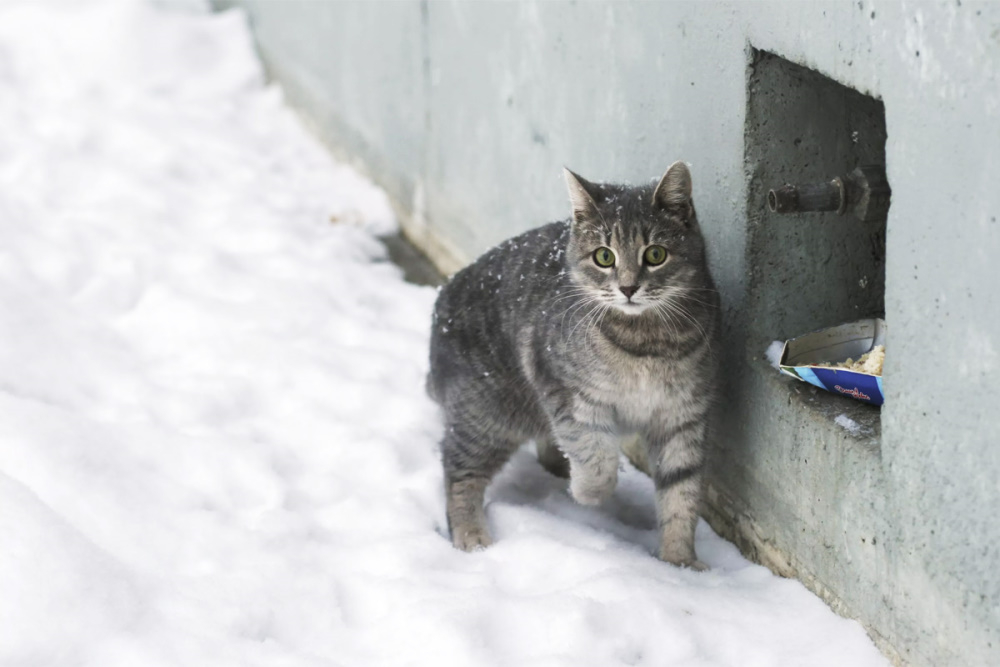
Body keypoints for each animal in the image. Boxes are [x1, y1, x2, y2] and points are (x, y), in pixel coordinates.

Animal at [424, 162, 720, 568]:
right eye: (604, 257)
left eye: (656, 254)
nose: (629, 288)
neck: (646, 342)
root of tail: (443, 298)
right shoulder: (569, 397)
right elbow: (595, 459)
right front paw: (587, 493)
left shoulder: (682, 416)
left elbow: (681, 494)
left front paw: (680, 564)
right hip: (486, 418)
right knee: (458, 471)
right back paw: (472, 536)